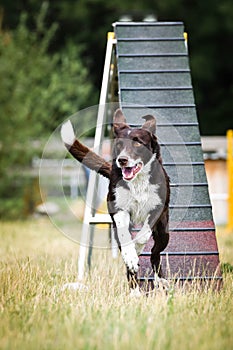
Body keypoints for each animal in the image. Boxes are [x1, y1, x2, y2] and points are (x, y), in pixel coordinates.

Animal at [60, 108, 169, 294]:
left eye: (138, 143)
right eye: (119, 144)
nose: (122, 160)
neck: (137, 182)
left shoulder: (156, 209)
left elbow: (143, 235)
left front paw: (137, 247)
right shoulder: (118, 208)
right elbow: (125, 237)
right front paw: (131, 255)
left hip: (164, 233)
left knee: (155, 253)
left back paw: (159, 280)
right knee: (131, 266)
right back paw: (135, 291)